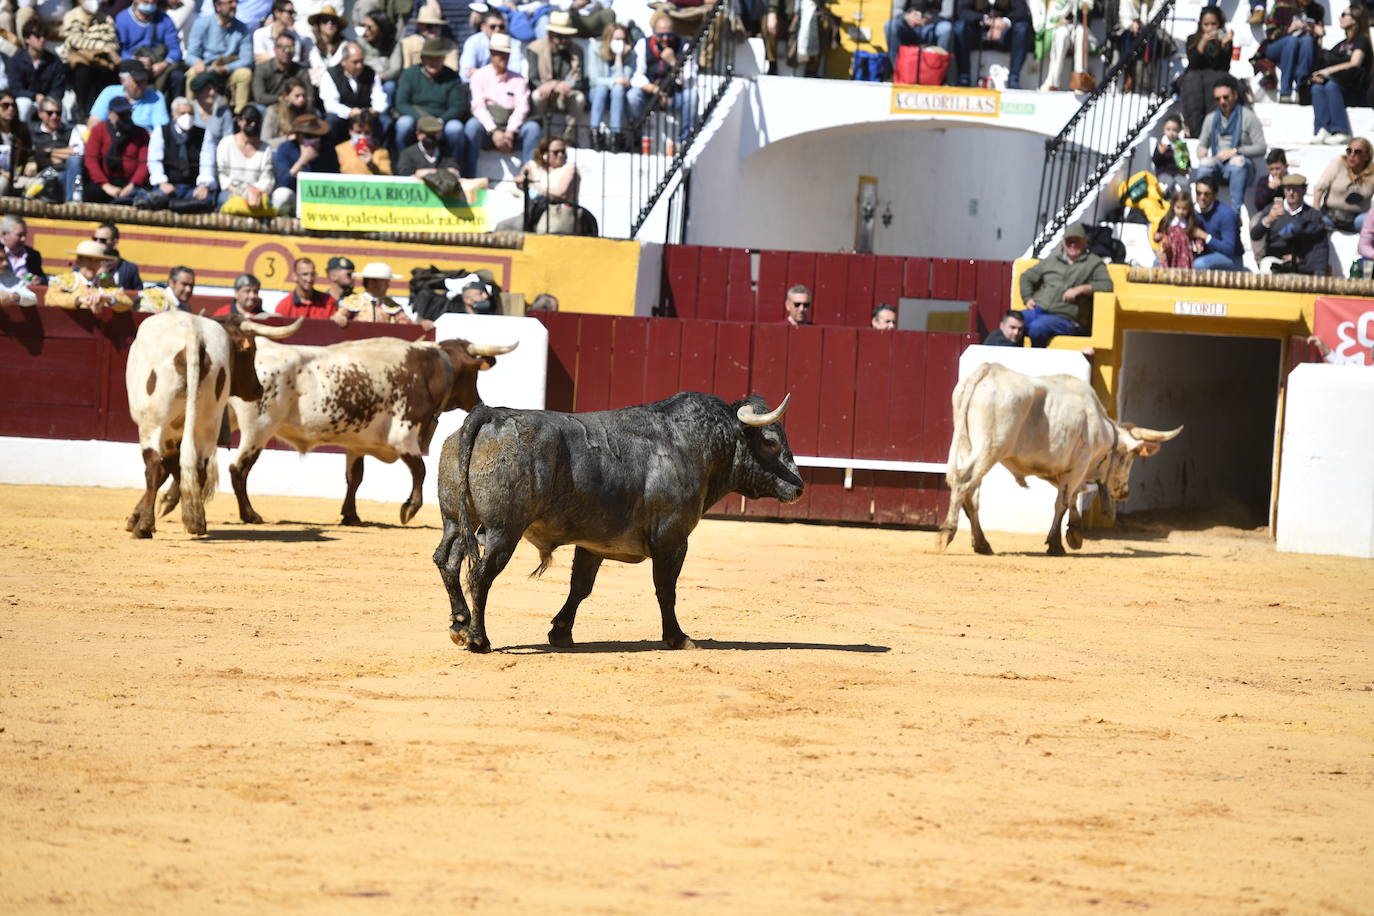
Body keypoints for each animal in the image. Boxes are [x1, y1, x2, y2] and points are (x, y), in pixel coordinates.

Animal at [431, 392, 802, 650]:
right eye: (770, 442)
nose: (798, 486)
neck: (694, 444)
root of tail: (489, 413)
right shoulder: (672, 540)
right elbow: (666, 590)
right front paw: (678, 637)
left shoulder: (592, 543)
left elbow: (580, 587)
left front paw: (560, 632)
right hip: (502, 532)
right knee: (480, 574)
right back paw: (478, 639)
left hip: (457, 521)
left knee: (447, 561)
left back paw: (459, 624)